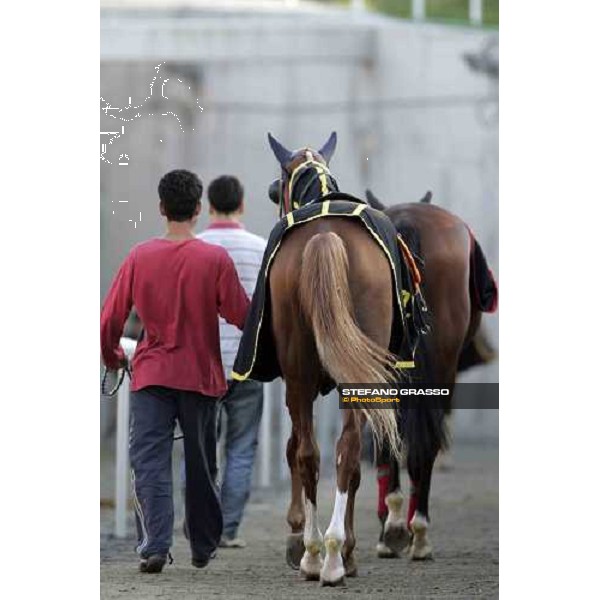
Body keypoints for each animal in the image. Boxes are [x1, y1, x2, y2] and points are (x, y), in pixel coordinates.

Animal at [266, 132, 404, 584]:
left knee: (314, 452)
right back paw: (329, 555)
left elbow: (296, 448)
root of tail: (325, 236)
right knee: (345, 450)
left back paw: (318, 553)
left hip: (300, 371)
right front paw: (344, 548)